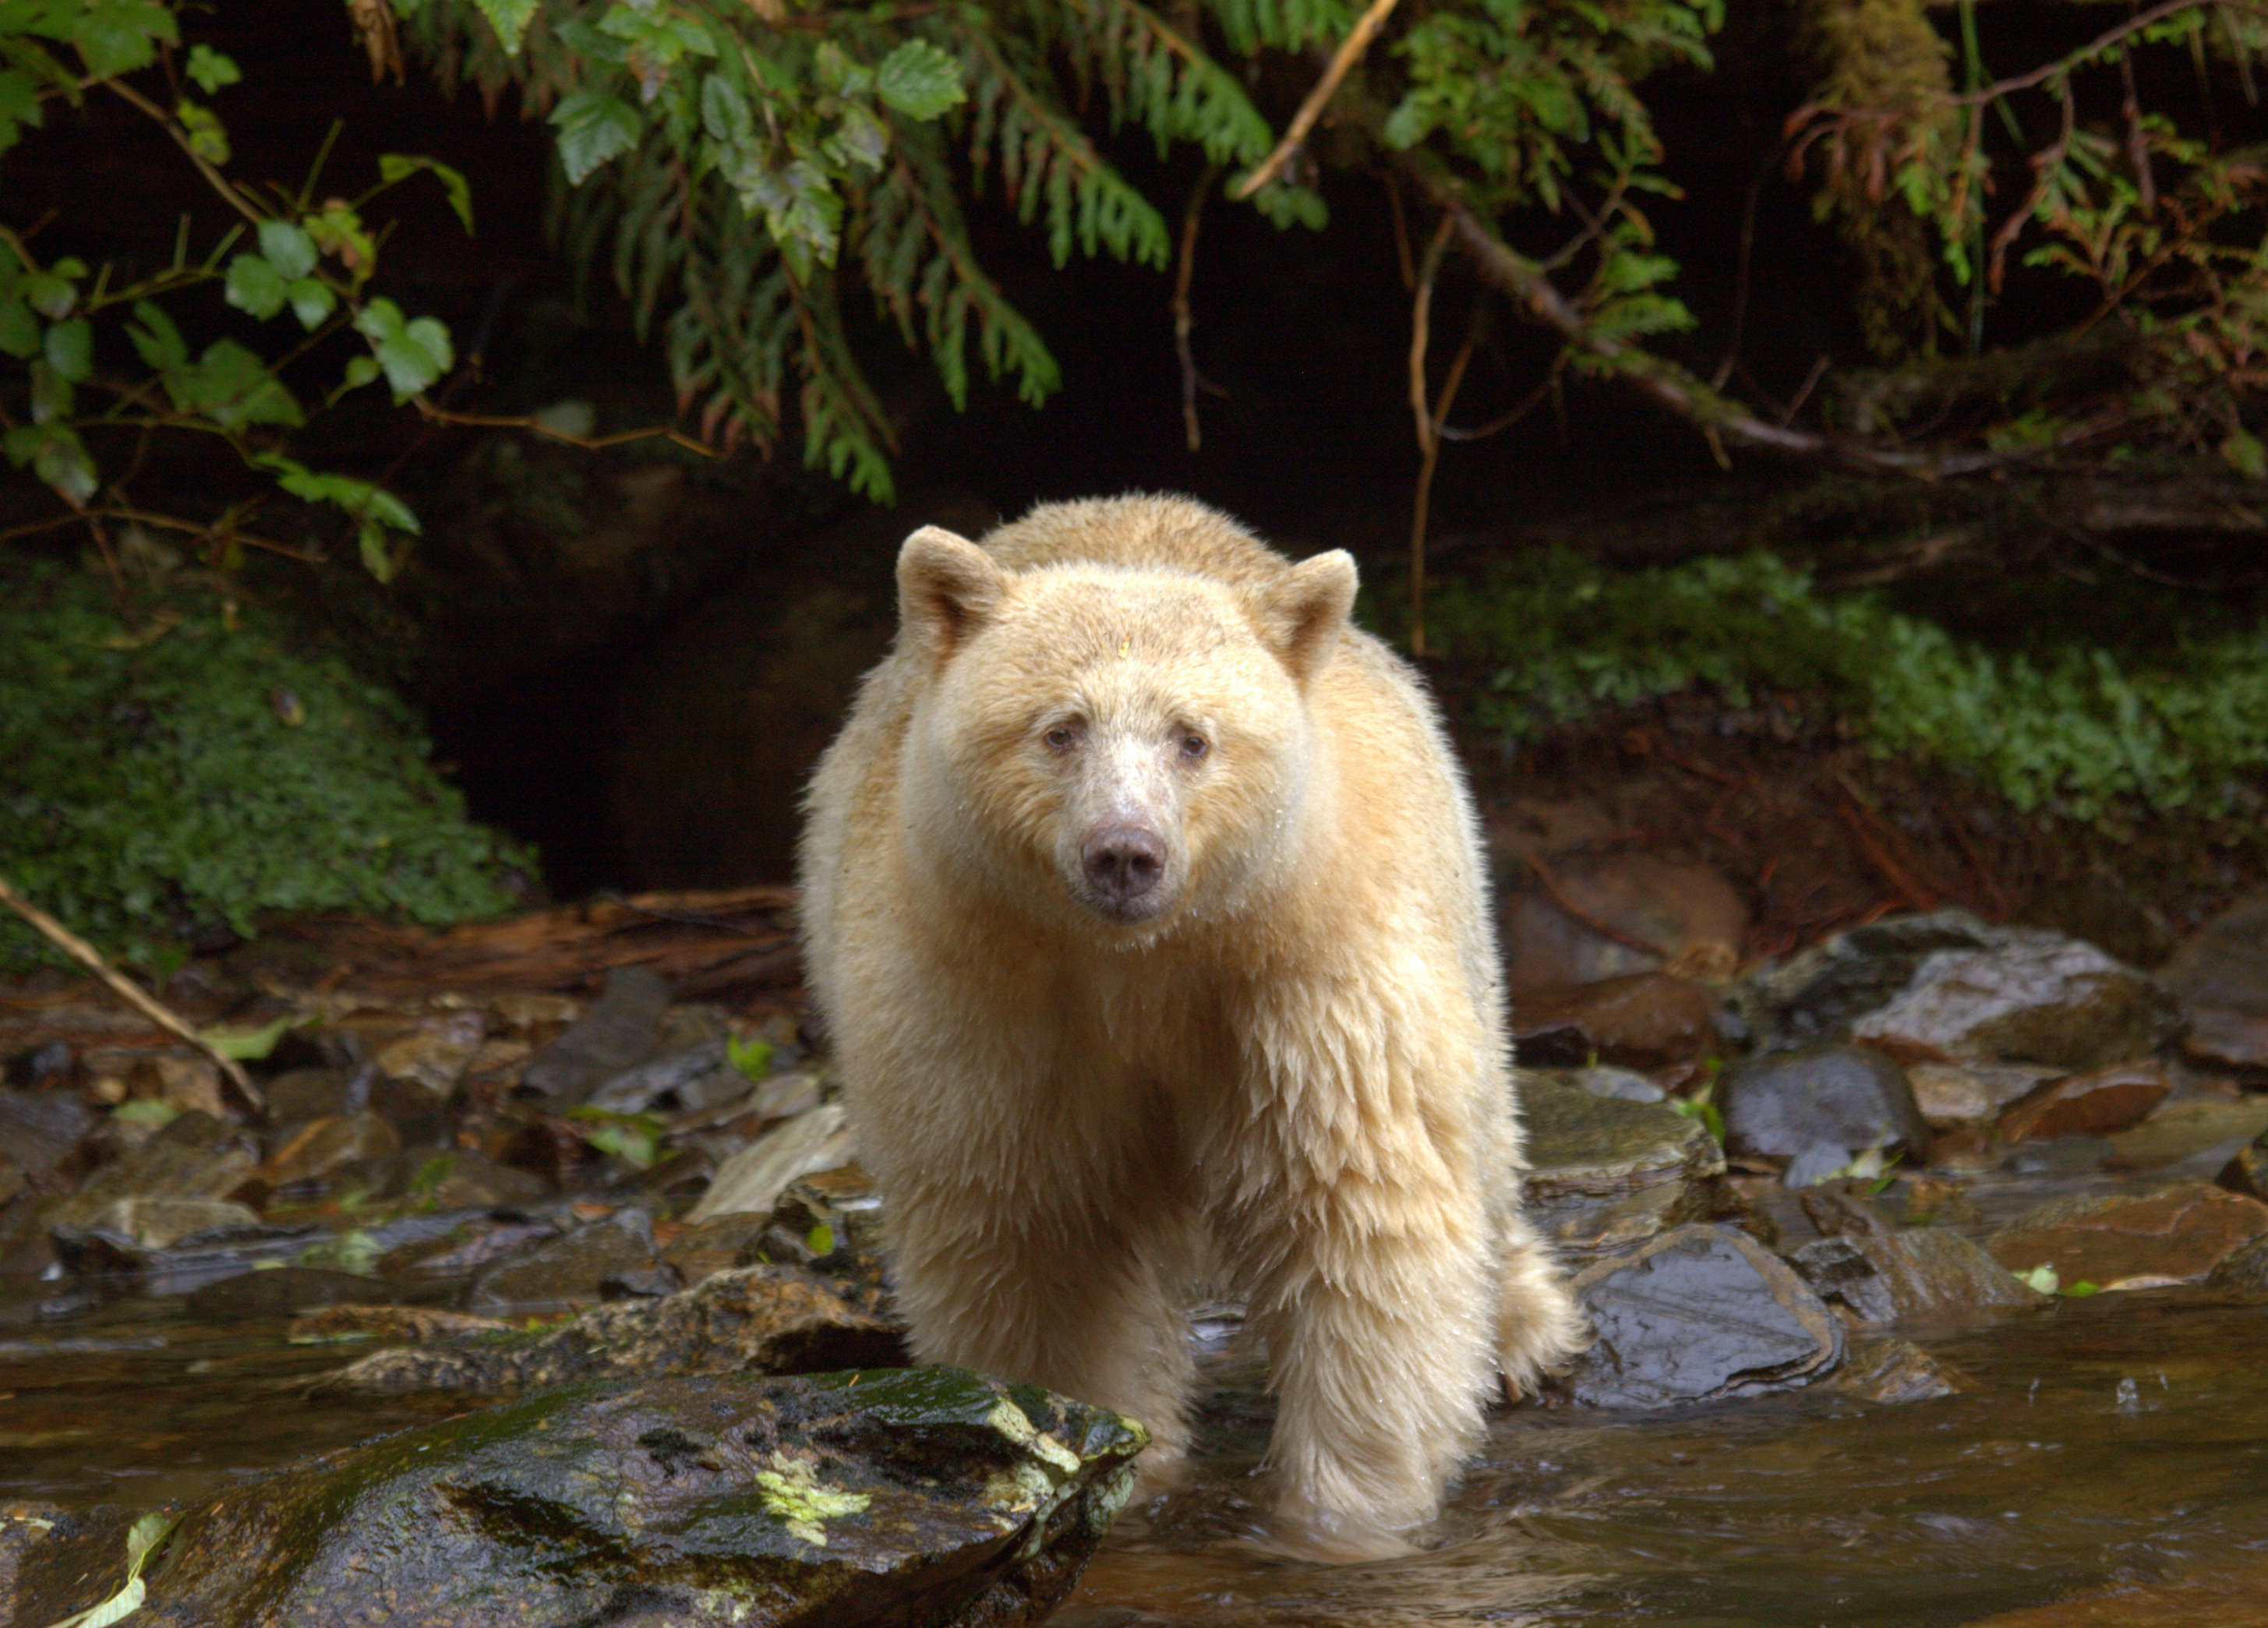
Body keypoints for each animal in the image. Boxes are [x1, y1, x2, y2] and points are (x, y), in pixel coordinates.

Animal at [797, 494, 1584, 1559]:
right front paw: (1105, 1464)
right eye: (1061, 729)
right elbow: (1036, 1239)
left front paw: (1345, 1517)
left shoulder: (1305, 981)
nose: (1126, 851)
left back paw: (1521, 1324)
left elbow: (1362, 1220)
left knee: (1484, 1131)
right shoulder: (984, 999)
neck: (1145, 961)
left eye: (1192, 738)